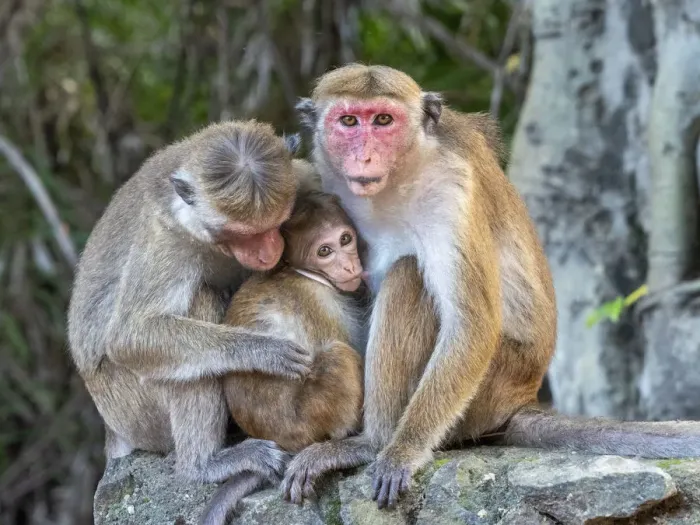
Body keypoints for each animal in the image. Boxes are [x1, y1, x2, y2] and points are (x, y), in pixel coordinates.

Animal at [67, 120, 317, 488]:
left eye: (275, 224)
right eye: (242, 234)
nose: (267, 252)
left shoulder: (303, 177)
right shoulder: (167, 239)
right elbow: (130, 335)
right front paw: (264, 351)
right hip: (133, 410)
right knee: (199, 305)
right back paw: (202, 465)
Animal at [199, 190, 366, 525]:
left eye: (345, 239)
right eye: (324, 251)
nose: (348, 266)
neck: (303, 272)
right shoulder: (320, 303)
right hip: (309, 418)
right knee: (339, 355)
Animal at [277, 63, 700, 509]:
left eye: (383, 121)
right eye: (348, 121)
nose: (365, 155)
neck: (398, 179)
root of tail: (521, 397)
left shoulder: (450, 191)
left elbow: (472, 323)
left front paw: (403, 450)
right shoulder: (325, 178)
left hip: (488, 390)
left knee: (410, 275)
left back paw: (372, 443)